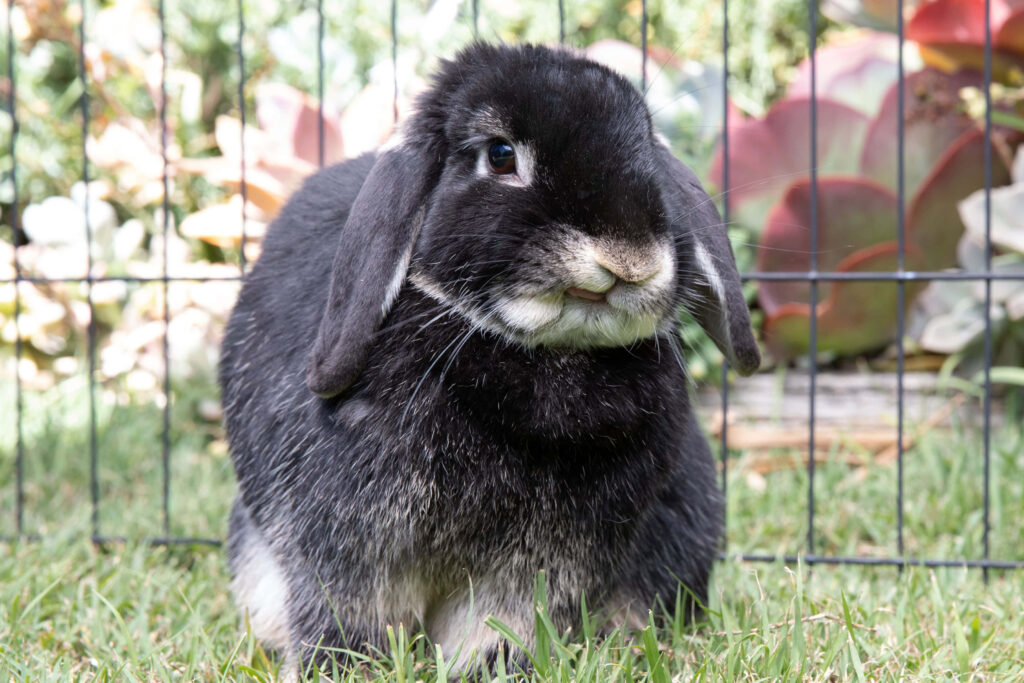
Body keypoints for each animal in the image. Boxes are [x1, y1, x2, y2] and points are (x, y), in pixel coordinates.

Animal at [221, 42, 760, 676]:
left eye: (645, 145)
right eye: (500, 156)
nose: (630, 256)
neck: (548, 354)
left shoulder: (540, 567)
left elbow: (500, 623)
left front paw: (494, 669)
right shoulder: (348, 545)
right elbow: (347, 615)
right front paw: (342, 669)